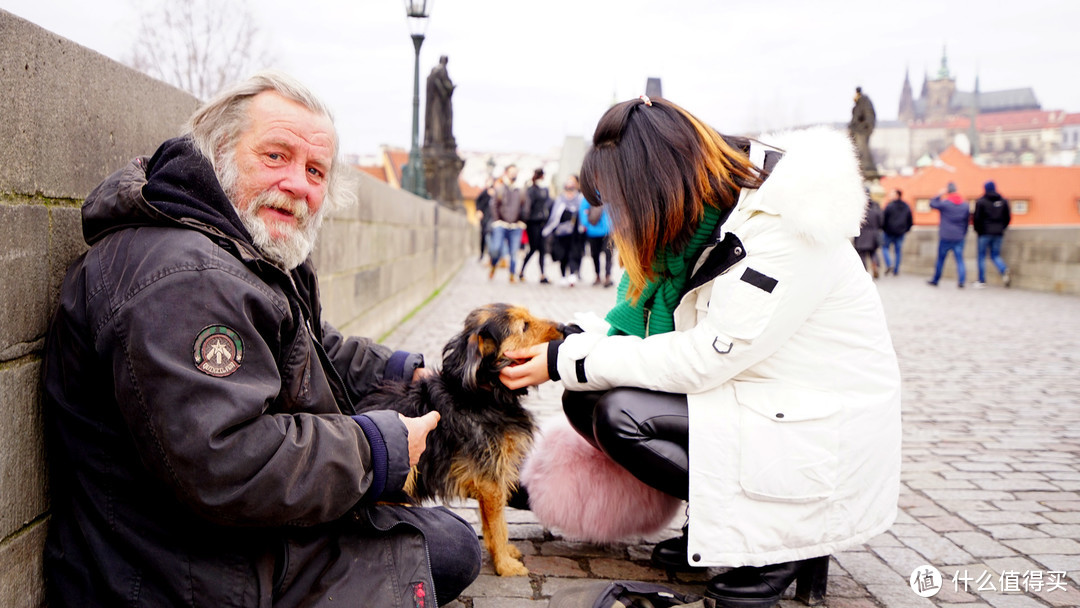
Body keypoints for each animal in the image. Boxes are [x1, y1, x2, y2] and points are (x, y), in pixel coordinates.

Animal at [360, 302, 570, 574]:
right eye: (523, 326)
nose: (564, 327)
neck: (485, 392)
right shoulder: (491, 479)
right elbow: (499, 525)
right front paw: (506, 566)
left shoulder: (487, 479)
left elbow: (491, 523)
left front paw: (501, 555)